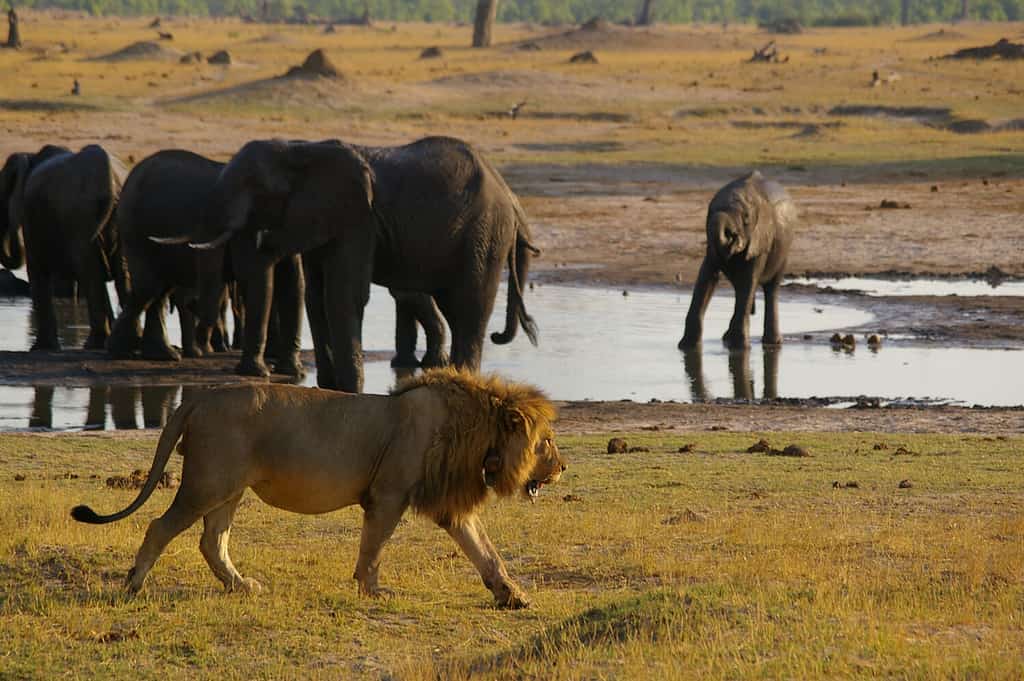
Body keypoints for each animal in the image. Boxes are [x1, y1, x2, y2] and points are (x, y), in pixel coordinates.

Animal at [0, 143, 128, 350]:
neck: (31, 156)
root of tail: (109, 178)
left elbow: (37, 271)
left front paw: (41, 349)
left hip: (81, 218)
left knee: (90, 272)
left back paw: (94, 344)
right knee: (120, 272)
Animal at [70, 368, 569, 606]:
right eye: (546, 441)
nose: (563, 467)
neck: (476, 436)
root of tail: (198, 396)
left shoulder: (452, 507)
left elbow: (486, 552)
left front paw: (513, 596)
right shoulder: (387, 495)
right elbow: (373, 548)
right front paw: (373, 591)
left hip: (230, 489)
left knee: (212, 541)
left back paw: (241, 586)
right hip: (207, 483)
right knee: (159, 526)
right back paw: (134, 586)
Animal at [193, 137, 544, 393]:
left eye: (257, 190)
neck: (301, 150)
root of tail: (507, 192)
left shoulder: (357, 219)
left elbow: (343, 294)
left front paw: (350, 389)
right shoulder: (319, 219)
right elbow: (317, 297)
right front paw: (330, 386)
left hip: (484, 234)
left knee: (469, 305)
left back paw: (462, 379)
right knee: (455, 307)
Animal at [679, 169, 798, 350]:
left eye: (746, 219)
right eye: (709, 212)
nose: (732, 236)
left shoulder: (761, 238)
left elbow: (748, 280)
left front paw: (740, 348)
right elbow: (707, 276)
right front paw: (687, 347)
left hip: (784, 249)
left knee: (771, 288)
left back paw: (772, 343)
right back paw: (727, 338)